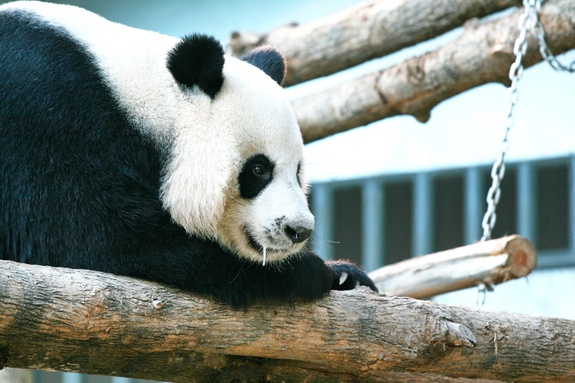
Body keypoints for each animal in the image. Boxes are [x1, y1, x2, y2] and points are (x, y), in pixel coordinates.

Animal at [0, 0, 378, 306]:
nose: (298, 230)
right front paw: (312, 273)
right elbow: (97, 236)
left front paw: (345, 274)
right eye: (259, 170)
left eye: (298, 172)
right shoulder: (46, 116)